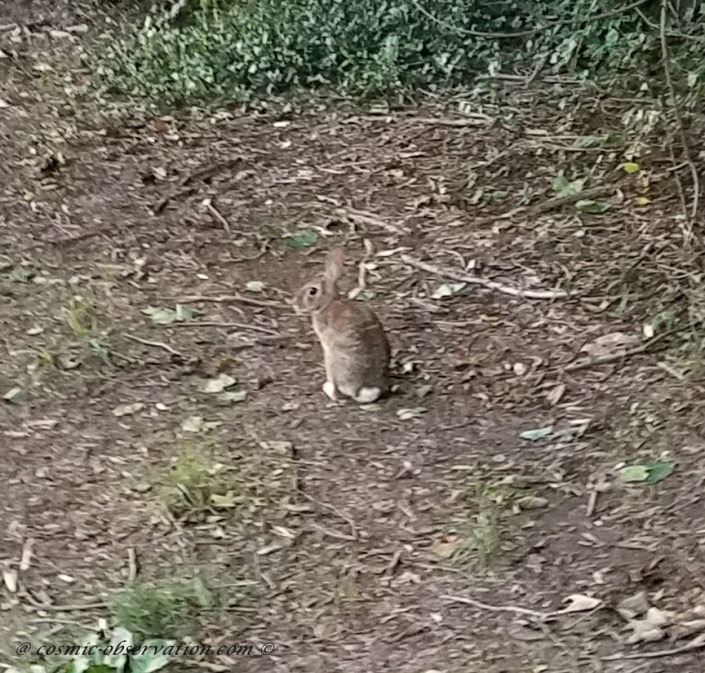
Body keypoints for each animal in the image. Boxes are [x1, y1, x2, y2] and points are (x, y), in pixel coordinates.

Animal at [293, 246, 391, 404]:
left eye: (312, 291)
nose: (295, 304)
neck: (328, 304)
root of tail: (360, 390)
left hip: (332, 363)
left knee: (338, 392)